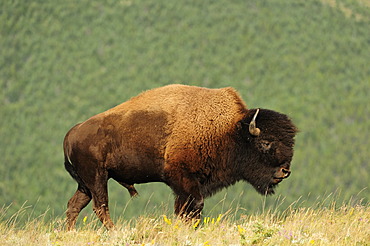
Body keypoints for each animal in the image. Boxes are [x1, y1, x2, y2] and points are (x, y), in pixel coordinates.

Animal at [63, 84, 298, 229]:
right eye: (266, 143)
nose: (285, 171)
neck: (228, 130)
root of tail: (73, 132)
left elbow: (186, 209)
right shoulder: (183, 179)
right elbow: (192, 207)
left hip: (86, 184)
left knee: (75, 205)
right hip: (97, 177)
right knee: (100, 206)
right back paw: (115, 231)